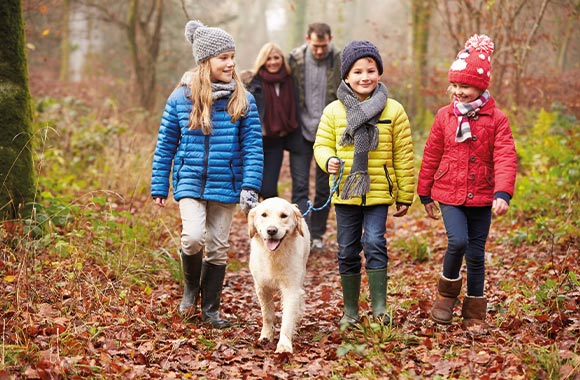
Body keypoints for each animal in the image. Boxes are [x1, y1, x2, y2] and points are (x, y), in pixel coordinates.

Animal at [249, 197, 312, 352]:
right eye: (264, 215)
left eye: (284, 216)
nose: (271, 230)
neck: (273, 255)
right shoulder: (262, 287)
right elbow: (267, 315)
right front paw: (266, 336)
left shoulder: (291, 289)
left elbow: (287, 318)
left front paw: (284, 345)